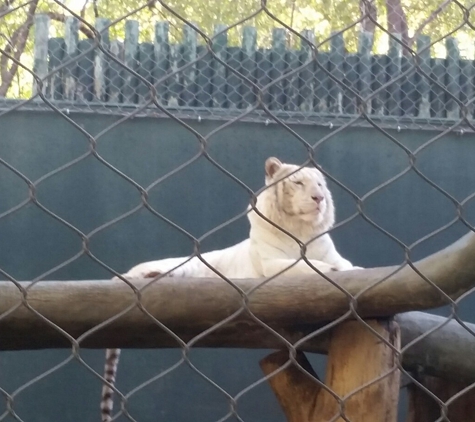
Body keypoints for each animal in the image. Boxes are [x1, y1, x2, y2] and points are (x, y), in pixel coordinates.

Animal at [100, 157, 360, 420]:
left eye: (319, 184)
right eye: (298, 183)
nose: (319, 198)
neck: (301, 230)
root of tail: (122, 275)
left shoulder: (335, 256)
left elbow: (349, 266)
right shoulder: (271, 265)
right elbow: (305, 266)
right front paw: (327, 270)